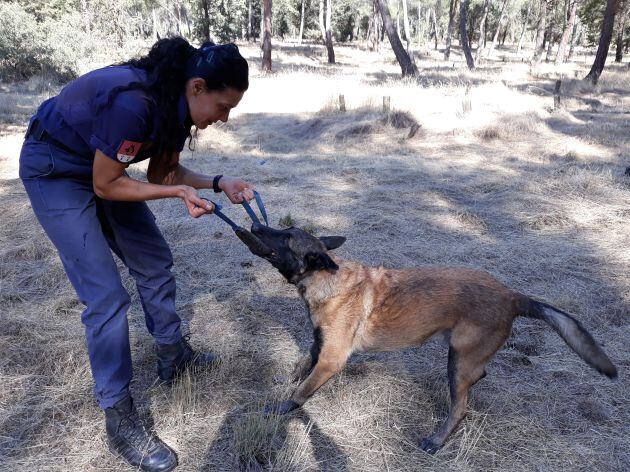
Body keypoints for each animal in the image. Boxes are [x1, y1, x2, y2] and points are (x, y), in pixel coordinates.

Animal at [244, 222, 620, 454]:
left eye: (285, 238)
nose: (255, 226)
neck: (327, 278)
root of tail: (513, 296)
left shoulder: (332, 358)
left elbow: (302, 391)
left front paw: (280, 408)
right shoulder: (318, 343)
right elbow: (301, 367)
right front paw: (285, 378)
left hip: (458, 359)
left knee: (461, 407)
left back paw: (438, 440)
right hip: (462, 356)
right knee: (477, 378)